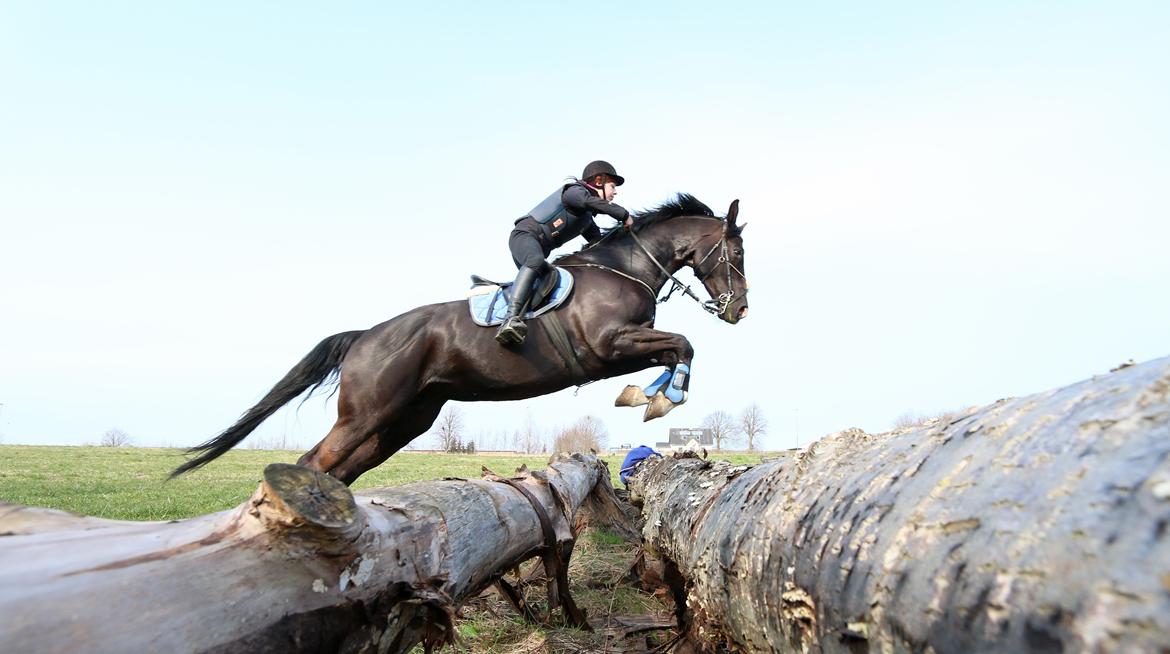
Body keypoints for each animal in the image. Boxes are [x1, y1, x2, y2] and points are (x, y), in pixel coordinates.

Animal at [173, 191, 748, 484]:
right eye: (737, 253)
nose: (739, 310)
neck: (624, 267)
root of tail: (363, 338)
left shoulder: (624, 348)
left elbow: (675, 350)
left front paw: (647, 397)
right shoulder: (609, 346)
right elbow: (683, 345)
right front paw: (658, 400)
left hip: (407, 417)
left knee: (344, 469)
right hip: (368, 411)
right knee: (314, 462)